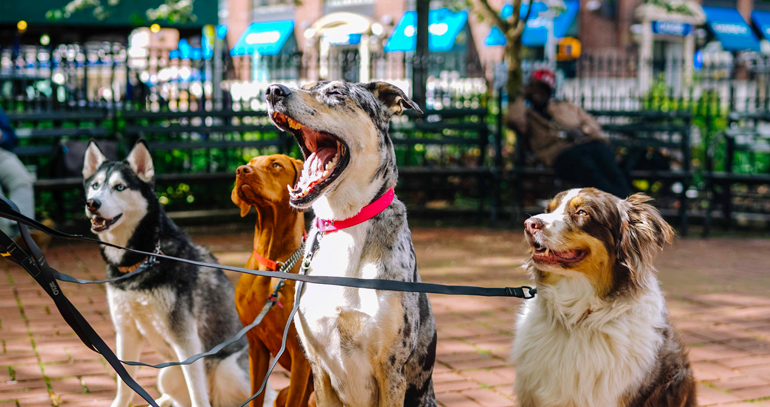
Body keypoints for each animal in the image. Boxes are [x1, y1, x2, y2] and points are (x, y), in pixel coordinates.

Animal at [80, 141, 272, 407]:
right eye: (95, 185)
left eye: (120, 187)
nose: (93, 203)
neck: (143, 258)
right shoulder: (126, 331)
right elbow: (125, 386)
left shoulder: (186, 338)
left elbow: (197, 394)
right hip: (168, 374)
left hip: (228, 370)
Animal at [230, 155, 314, 407]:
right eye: (250, 163)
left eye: (276, 164)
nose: (241, 170)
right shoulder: (255, 345)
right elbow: (255, 396)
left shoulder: (300, 356)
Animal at [264, 83, 436, 407]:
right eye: (305, 86)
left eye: (336, 92)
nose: (273, 90)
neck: (343, 222)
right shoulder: (318, 369)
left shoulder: (391, 371)